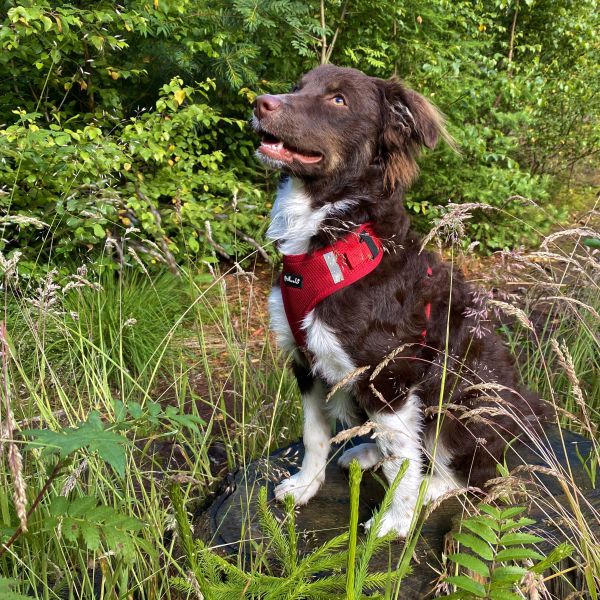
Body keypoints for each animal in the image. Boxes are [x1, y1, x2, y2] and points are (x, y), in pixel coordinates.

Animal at [251, 63, 552, 536]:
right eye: (297, 87)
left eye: (338, 100)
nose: (260, 103)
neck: (330, 243)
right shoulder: (306, 364)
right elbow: (315, 435)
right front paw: (305, 485)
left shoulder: (389, 377)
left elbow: (402, 464)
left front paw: (395, 520)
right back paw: (364, 453)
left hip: (462, 407)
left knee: (466, 473)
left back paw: (428, 489)